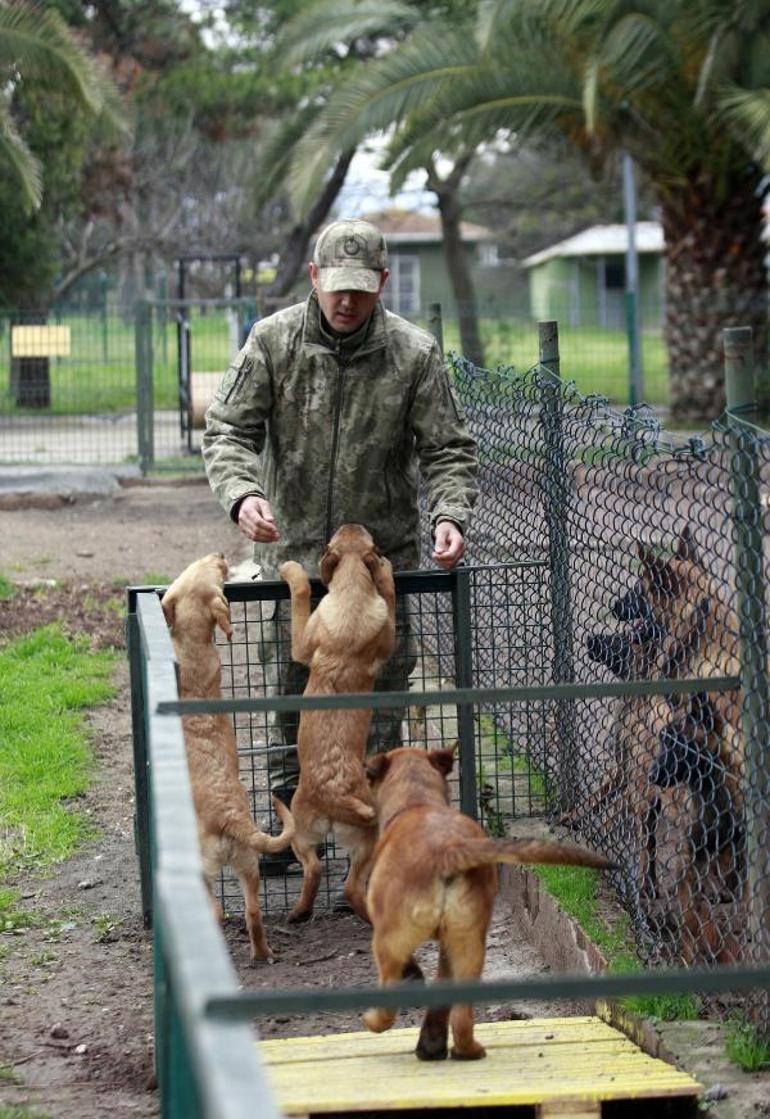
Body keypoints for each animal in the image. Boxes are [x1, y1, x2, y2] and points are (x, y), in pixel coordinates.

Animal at [161, 550, 295, 962]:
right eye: (206, 567)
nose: (220, 555)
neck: (194, 646)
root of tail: (230, 817)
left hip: (206, 871)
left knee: (217, 912)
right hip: (249, 865)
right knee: (252, 914)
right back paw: (263, 954)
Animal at [360, 743, 613, 1056]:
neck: (417, 802)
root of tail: (447, 849)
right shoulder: (449, 948)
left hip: (391, 940)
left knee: (390, 1001)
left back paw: (374, 1020)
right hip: (469, 943)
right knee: (461, 1016)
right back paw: (464, 1051)